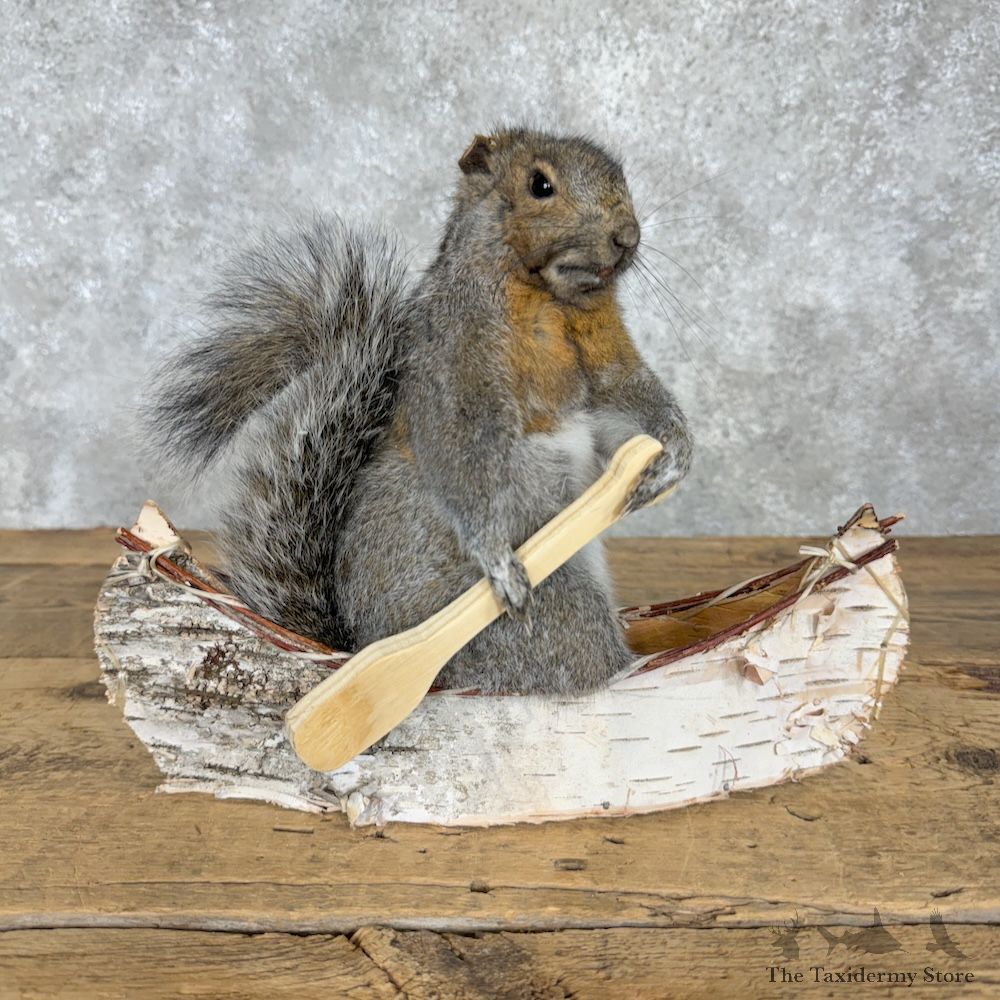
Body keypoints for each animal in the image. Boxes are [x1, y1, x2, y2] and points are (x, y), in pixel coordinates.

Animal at [148, 127, 693, 694]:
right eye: (540, 185)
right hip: (551, 608)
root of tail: (360, 644)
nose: (627, 236)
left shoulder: (608, 363)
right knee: (580, 665)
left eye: (621, 175)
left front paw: (671, 459)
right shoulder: (455, 374)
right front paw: (498, 560)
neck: (552, 298)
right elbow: (463, 464)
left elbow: (626, 408)